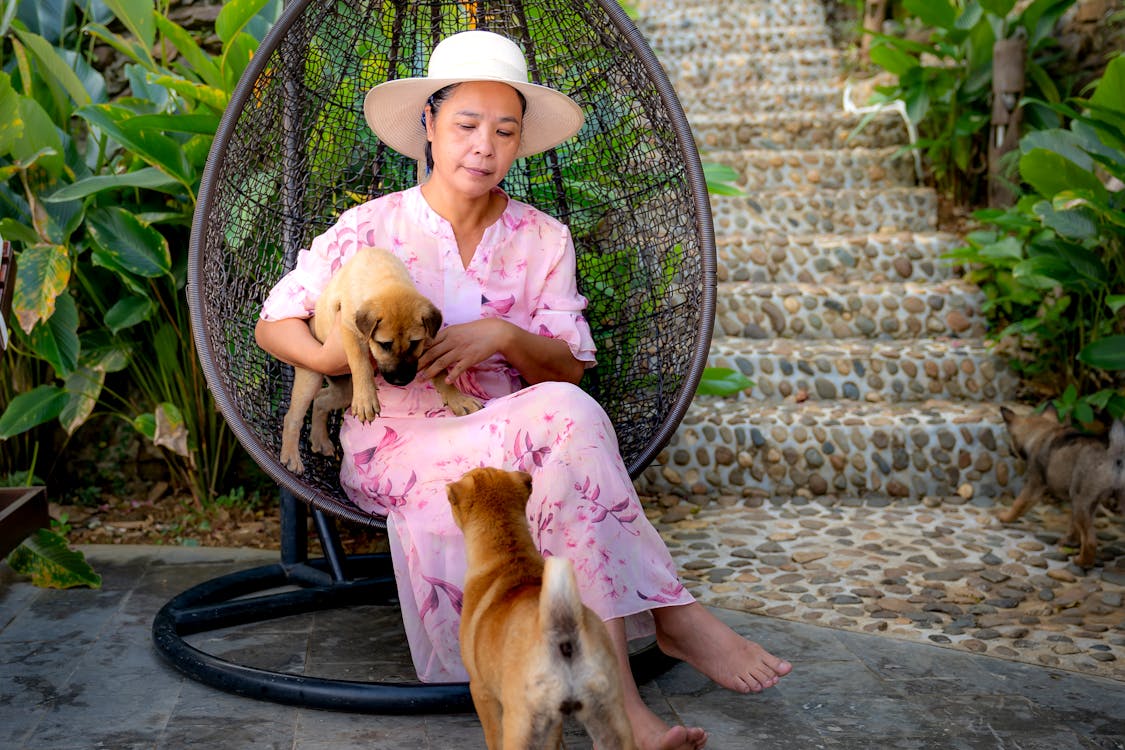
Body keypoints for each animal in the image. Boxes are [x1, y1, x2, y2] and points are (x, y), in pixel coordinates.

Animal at [281, 246, 483, 472]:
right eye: (384, 345)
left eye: (414, 343)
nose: (401, 381)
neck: (386, 276)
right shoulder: (348, 328)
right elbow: (360, 361)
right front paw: (366, 400)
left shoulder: (426, 342)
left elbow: (440, 371)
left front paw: (458, 399)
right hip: (311, 376)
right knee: (293, 416)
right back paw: (291, 457)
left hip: (344, 391)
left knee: (321, 400)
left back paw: (320, 440)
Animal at [447, 465, 643, 746]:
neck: (509, 554)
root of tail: (564, 636)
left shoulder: (482, 693)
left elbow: (493, 738)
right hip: (609, 717)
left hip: (521, 723)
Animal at [999, 407, 1120, 566]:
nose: (1008, 450)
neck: (1041, 432)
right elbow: (1073, 526)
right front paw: (1070, 541)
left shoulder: (1034, 485)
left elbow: (1018, 504)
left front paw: (1005, 517)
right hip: (1087, 503)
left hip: (1081, 503)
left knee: (1090, 541)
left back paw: (1081, 561)